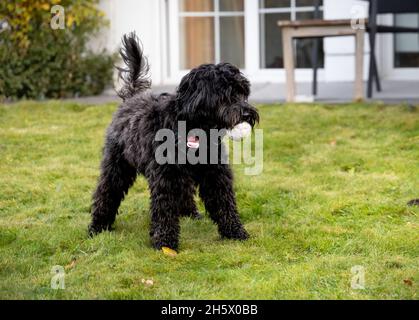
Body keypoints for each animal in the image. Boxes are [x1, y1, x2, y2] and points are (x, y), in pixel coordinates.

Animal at [88, 32, 260, 250]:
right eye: (225, 94)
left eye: (242, 92)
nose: (247, 114)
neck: (193, 127)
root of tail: (131, 98)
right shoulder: (166, 176)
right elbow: (164, 209)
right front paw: (165, 242)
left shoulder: (215, 173)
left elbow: (224, 202)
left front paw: (235, 232)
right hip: (116, 166)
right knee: (107, 192)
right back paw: (97, 226)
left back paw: (189, 213)